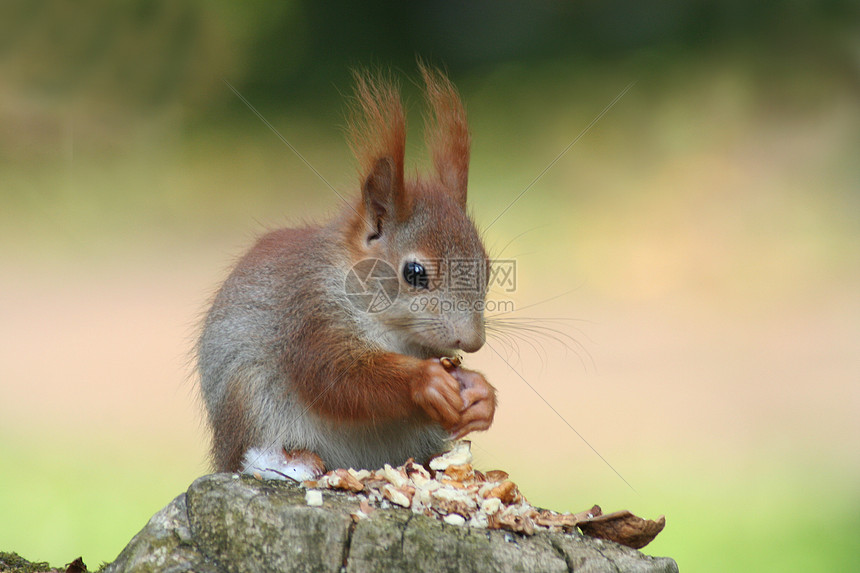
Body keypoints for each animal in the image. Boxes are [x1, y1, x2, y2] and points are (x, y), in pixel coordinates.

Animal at [196, 65, 498, 480]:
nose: (472, 342)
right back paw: (293, 462)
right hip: (249, 402)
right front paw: (425, 380)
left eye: (488, 267)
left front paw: (481, 393)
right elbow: (339, 378)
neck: (393, 330)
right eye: (414, 272)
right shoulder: (310, 315)